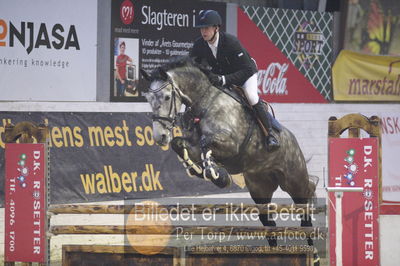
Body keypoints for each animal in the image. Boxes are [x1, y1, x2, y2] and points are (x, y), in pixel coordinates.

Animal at [141, 57, 318, 252]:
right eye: (148, 99)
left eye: (166, 97)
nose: (160, 137)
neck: (204, 103)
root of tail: (293, 140)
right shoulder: (192, 144)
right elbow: (179, 143)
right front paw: (197, 169)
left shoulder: (232, 145)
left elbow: (205, 143)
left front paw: (218, 176)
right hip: (260, 187)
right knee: (269, 222)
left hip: (294, 182)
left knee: (304, 207)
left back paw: (313, 250)